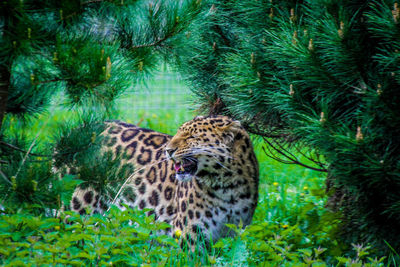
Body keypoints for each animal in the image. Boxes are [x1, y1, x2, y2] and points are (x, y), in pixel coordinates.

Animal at [69, 115, 260, 245]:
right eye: (178, 132)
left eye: (192, 137)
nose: (168, 150)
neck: (227, 186)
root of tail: (77, 130)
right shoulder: (190, 235)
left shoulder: (234, 233)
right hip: (77, 210)